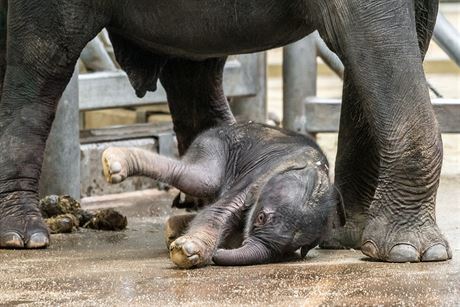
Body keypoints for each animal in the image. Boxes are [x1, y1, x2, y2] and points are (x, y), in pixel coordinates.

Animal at [102, 121, 344, 268]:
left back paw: (172, 230)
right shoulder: (258, 176)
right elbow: (219, 211)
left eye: (290, 249)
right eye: (261, 218)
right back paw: (113, 161)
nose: (216, 256)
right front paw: (186, 252)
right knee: (198, 177)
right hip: (214, 144)